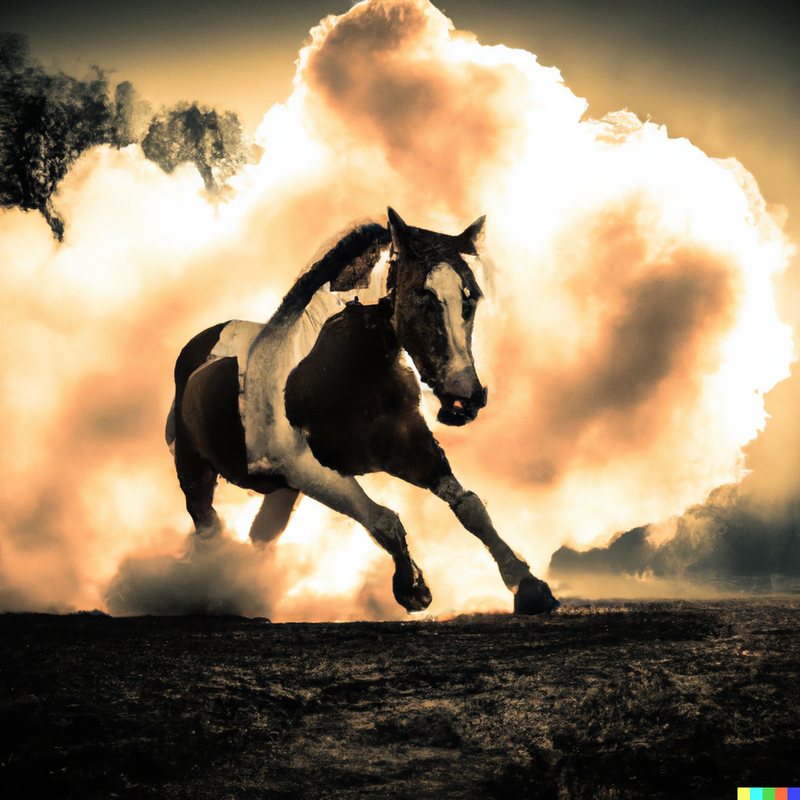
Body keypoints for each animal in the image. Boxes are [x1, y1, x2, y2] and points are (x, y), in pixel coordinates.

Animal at [165, 208, 558, 615]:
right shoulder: (309, 470)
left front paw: (529, 587)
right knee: (208, 527)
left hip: (282, 493)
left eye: (471, 298)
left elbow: (469, 507)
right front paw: (412, 589)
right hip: (194, 469)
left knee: (260, 538)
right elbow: (385, 521)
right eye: (422, 297)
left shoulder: (411, 451)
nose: (465, 397)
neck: (348, 369)